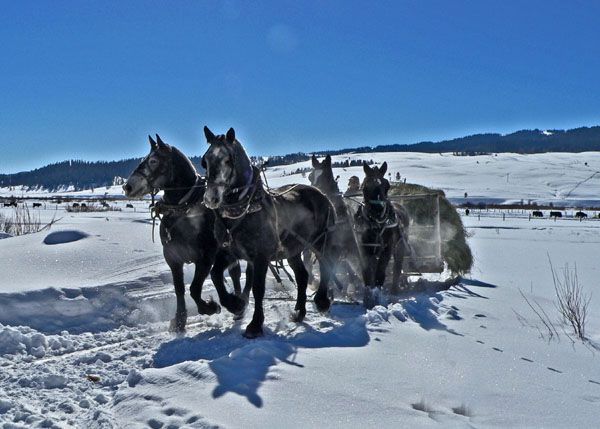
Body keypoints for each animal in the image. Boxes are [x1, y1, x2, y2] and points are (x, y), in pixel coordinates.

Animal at [124, 134, 246, 332]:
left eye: (153, 160)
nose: (128, 187)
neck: (184, 210)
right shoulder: (173, 258)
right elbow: (179, 289)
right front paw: (180, 320)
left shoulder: (205, 258)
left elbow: (194, 288)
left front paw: (210, 307)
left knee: (233, 274)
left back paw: (236, 305)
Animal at [203, 126, 338, 338]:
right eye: (205, 160)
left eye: (228, 160)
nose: (211, 198)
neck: (243, 210)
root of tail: (322, 195)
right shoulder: (229, 252)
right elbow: (216, 275)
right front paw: (235, 304)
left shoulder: (261, 256)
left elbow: (258, 288)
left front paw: (255, 325)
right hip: (293, 250)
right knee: (302, 276)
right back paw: (299, 312)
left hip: (320, 241)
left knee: (326, 264)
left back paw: (322, 301)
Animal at [354, 162, 410, 306]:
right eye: (364, 186)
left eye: (387, 186)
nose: (378, 211)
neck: (376, 226)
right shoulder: (364, 247)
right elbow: (367, 272)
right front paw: (368, 298)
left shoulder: (387, 248)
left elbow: (380, 273)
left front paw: (376, 297)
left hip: (400, 246)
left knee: (397, 268)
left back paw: (394, 292)